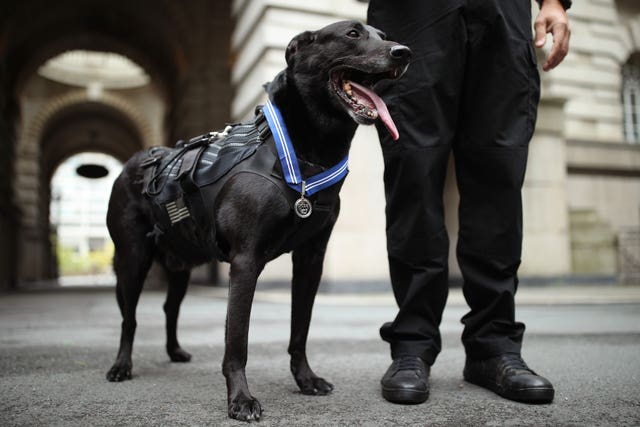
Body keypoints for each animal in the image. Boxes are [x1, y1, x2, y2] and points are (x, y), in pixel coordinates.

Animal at [105, 20, 410, 422]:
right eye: (353, 34)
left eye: (384, 35)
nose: (404, 52)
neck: (300, 152)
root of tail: (135, 162)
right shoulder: (245, 261)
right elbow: (237, 341)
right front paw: (241, 399)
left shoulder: (311, 260)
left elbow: (300, 330)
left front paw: (305, 379)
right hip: (133, 259)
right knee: (129, 318)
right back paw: (121, 366)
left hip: (181, 264)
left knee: (170, 308)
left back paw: (175, 352)